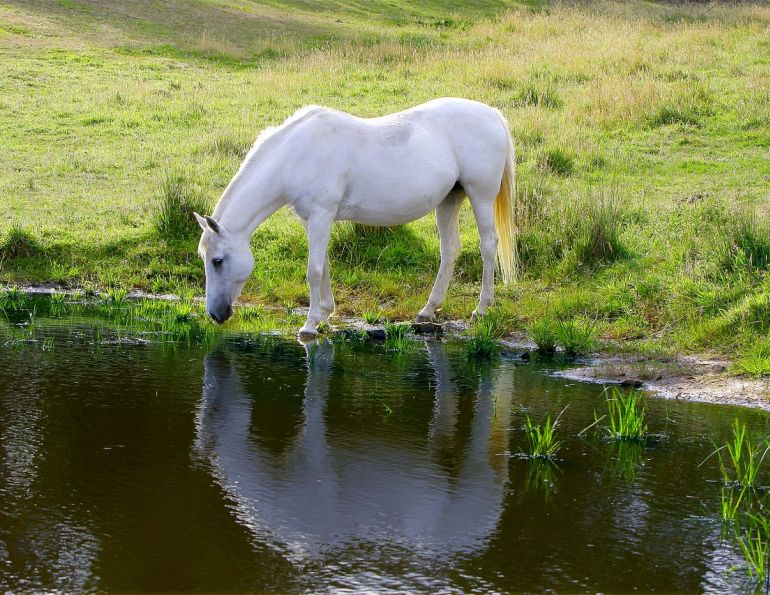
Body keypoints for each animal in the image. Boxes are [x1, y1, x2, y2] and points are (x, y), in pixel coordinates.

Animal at [194, 97, 516, 337]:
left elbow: (314, 270)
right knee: (450, 250)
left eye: (217, 261)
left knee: (488, 246)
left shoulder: (321, 215)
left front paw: (309, 325)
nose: (215, 314)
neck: (296, 154)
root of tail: (492, 114)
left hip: (480, 196)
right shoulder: (311, 219)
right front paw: (325, 315)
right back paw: (428, 310)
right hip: (450, 200)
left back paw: (481, 309)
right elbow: (323, 265)